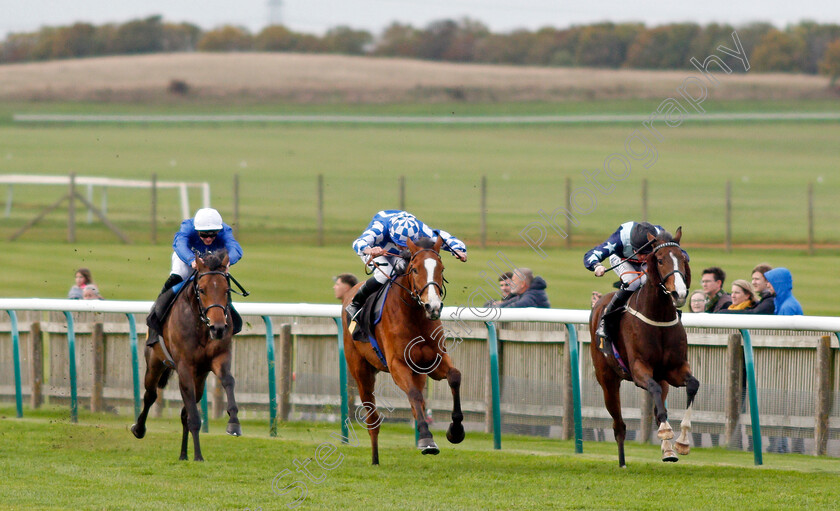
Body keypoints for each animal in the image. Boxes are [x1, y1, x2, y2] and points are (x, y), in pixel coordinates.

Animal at [131, 250, 241, 462]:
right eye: (203, 290)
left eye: (226, 290)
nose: (218, 328)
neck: (202, 326)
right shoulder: (184, 366)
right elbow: (193, 416)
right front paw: (198, 455)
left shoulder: (219, 357)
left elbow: (229, 381)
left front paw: (233, 423)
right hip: (155, 362)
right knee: (151, 395)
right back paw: (139, 429)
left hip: (199, 377)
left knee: (184, 412)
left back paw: (183, 454)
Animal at [342, 238, 466, 466]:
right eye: (415, 269)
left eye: (441, 268)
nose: (433, 307)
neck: (414, 315)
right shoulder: (397, 364)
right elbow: (415, 395)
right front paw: (426, 439)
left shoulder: (434, 361)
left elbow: (454, 377)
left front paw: (455, 431)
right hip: (361, 372)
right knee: (373, 417)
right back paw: (375, 459)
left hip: (417, 372)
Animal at [588, 228, 700, 468]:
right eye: (660, 260)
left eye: (683, 259)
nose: (679, 293)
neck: (658, 317)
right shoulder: (639, 369)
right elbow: (655, 395)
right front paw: (666, 432)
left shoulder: (674, 369)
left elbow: (692, 385)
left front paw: (682, 441)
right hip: (607, 380)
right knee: (619, 425)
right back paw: (622, 462)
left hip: (661, 378)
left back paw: (668, 451)